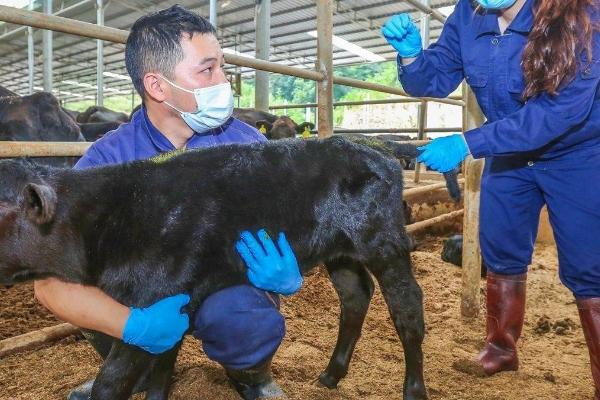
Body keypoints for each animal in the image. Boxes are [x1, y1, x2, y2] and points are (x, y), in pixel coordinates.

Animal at [0, 136, 460, 398]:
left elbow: (112, 380)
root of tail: (379, 147)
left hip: (383, 240)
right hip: (340, 250)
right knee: (356, 295)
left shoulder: (156, 298)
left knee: (407, 307)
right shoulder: (164, 312)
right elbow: (159, 371)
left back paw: (414, 389)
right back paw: (331, 375)